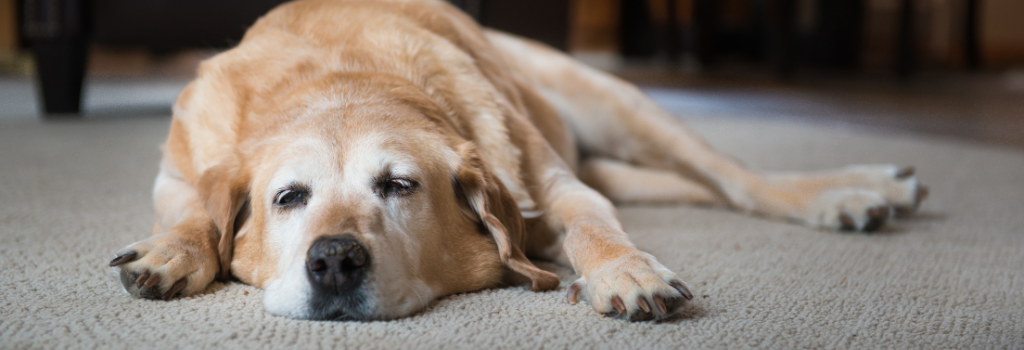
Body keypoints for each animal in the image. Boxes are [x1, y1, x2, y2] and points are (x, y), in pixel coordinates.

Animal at [108, 0, 925, 321]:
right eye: (288, 198)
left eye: (399, 185)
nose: (334, 259)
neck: (344, 77)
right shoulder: (175, 171)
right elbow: (194, 209)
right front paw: (174, 252)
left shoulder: (554, 188)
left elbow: (595, 228)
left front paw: (625, 272)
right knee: (693, 189)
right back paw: (873, 189)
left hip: (619, 104)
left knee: (736, 180)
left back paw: (846, 194)